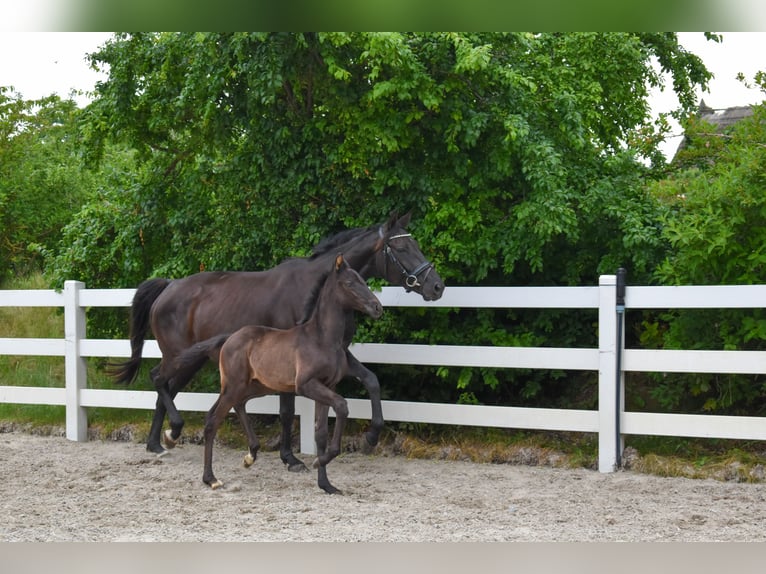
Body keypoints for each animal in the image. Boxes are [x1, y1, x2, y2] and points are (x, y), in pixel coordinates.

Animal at [109, 213, 444, 469]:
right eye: (401, 247)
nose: (437, 286)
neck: (314, 292)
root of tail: (168, 286)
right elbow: (286, 410)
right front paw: (290, 459)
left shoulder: (338, 356)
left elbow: (372, 380)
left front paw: (372, 436)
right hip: (178, 355)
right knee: (158, 379)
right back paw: (172, 432)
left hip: (194, 360)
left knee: (166, 389)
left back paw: (159, 442)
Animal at [178, 254, 383, 494]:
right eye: (350, 283)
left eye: (363, 280)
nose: (377, 307)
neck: (322, 338)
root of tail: (229, 338)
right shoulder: (306, 385)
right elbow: (342, 406)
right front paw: (319, 461)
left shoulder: (327, 385)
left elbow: (321, 434)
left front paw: (327, 485)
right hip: (235, 385)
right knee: (213, 420)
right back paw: (211, 478)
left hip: (257, 386)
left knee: (237, 405)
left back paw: (250, 455)